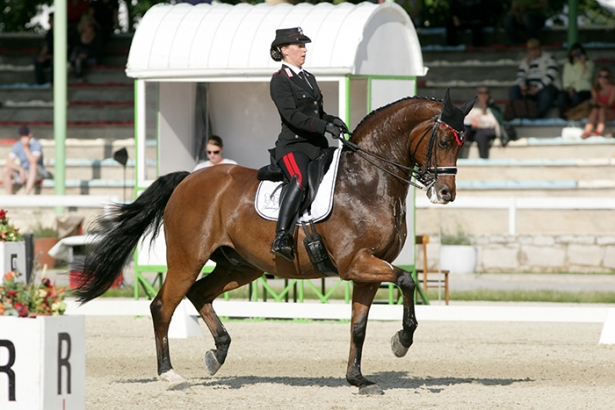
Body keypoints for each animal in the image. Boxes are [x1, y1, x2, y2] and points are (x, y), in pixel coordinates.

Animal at [73, 89, 476, 394]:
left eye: (462, 144)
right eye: (443, 140)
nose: (446, 193)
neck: (368, 181)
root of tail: (189, 178)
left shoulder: (367, 270)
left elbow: (358, 326)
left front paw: (358, 379)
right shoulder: (356, 263)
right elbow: (407, 280)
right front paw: (401, 342)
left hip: (241, 266)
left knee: (200, 294)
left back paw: (217, 354)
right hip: (187, 260)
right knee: (163, 306)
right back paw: (169, 373)